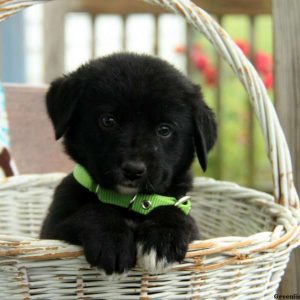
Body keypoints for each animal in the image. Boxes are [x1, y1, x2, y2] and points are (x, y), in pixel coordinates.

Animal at [41, 52, 217, 276]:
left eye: (164, 130)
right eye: (108, 120)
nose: (133, 170)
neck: (129, 201)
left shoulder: (192, 227)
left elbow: (176, 214)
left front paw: (162, 240)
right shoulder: (52, 229)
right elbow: (92, 210)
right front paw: (112, 242)